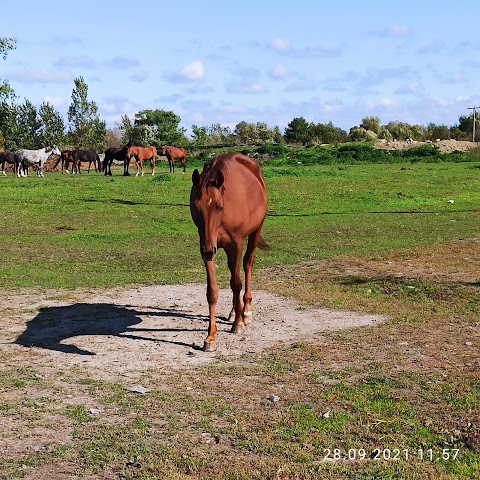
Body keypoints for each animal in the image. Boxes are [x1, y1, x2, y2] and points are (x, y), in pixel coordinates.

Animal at [189, 154, 268, 352]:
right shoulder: (207, 246)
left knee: (247, 265)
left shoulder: (236, 243)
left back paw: (245, 311)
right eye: (196, 207)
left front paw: (238, 323)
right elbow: (212, 291)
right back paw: (234, 311)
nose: (209, 250)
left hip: (255, 232)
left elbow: (236, 283)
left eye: (219, 206)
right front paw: (210, 337)